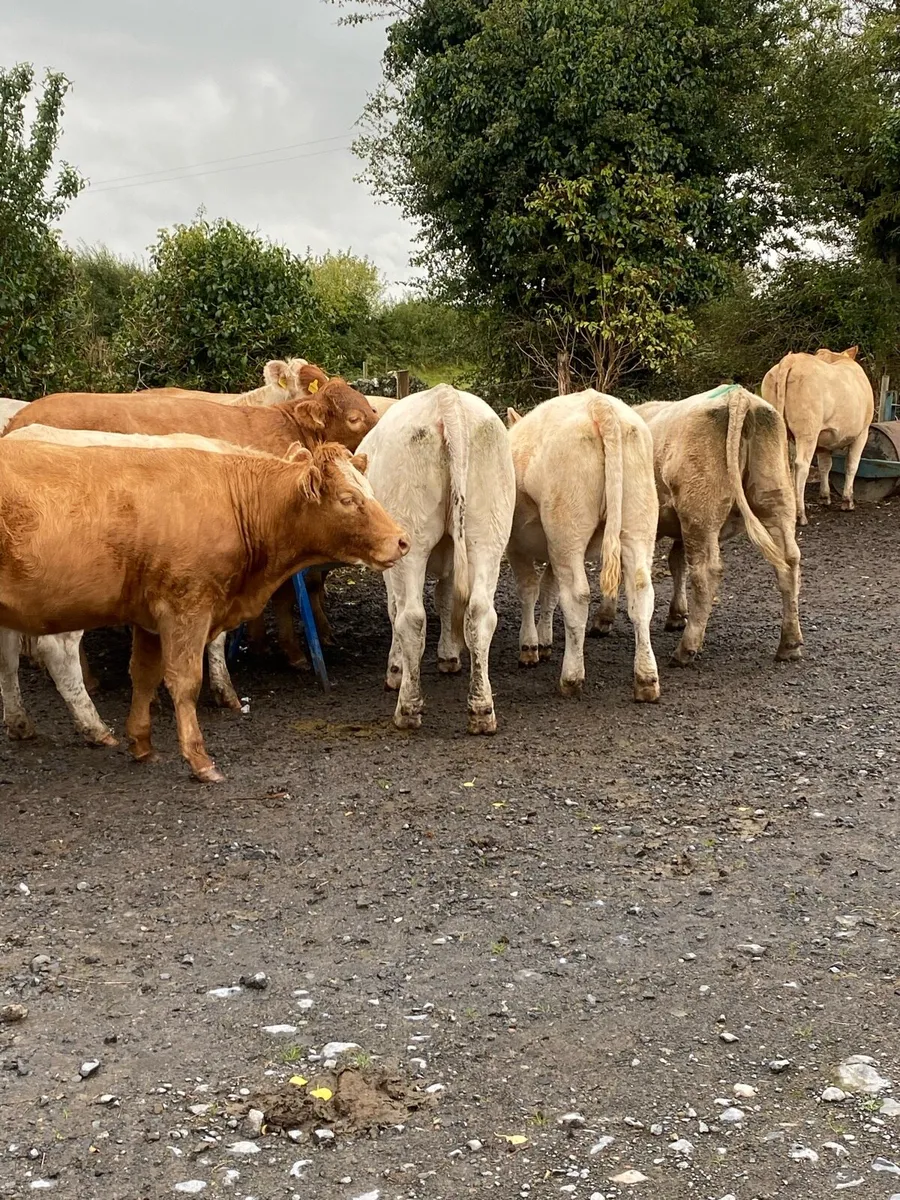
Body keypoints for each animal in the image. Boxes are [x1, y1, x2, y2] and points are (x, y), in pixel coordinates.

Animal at [0, 438, 408, 781]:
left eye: (370, 491)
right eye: (347, 498)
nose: (402, 540)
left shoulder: (149, 620)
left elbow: (143, 675)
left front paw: (142, 744)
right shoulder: (187, 607)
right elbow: (185, 682)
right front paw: (199, 760)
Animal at [356, 384, 515, 734]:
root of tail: (446, 397)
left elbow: (395, 608)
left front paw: (396, 669)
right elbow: (446, 598)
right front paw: (449, 655)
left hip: (410, 540)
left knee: (412, 617)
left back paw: (408, 708)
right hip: (488, 534)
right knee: (481, 613)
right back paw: (481, 709)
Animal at [505, 390, 660, 702]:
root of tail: (598, 403)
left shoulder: (518, 546)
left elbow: (529, 590)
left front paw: (530, 646)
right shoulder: (551, 551)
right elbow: (550, 591)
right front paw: (544, 641)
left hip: (567, 528)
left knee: (577, 595)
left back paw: (571, 678)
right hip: (638, 522)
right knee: (641, 591)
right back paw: (646, 679)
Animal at [621, 385, 802, 666]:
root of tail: (737, 395)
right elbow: (677, 563)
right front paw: (676, 614)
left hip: (700, 513)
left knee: (706, 572)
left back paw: (686, 648)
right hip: (775, 499)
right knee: (789, 561)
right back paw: (789, 644)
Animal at [760, 347, 874, 524]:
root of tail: (791, 359)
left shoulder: (823, 440)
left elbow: (825, 466)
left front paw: (824, 497)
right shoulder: (862, 433)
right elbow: (851, 465)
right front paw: (848, 501)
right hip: (808, 432)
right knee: (801, 465)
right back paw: (800, 514)